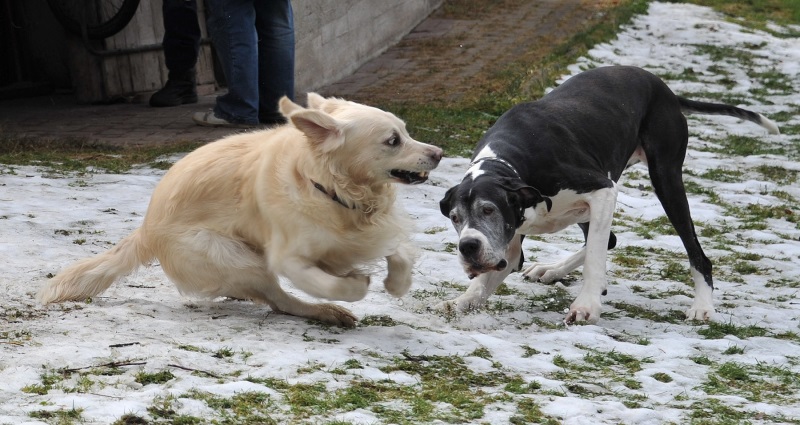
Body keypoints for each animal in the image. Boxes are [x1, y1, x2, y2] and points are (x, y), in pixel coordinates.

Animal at [37, 93, 443, 327]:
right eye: (392, 141)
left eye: (406, 132)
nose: (439, 153)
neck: (332, 189)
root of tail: (146, 228)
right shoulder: (287, 257)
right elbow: (328, 283)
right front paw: (356, 284)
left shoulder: (374, 230)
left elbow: (399, 251)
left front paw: (397, 283)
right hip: (234, 256)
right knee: (279, 300)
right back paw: (326, 312)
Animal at [438, 65, 779, 324]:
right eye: (455, 217)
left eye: (488, 210)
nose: (467, 246)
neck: (506, 163)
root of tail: (663, 87)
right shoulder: (509, 243)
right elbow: (485, 281)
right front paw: (461, 301)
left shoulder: (601, 190)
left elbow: (595, 256)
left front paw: (586, 305)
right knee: (608, 239)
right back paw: (552, 270)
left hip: (666, 179)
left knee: (695, 254)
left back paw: (703, 306)